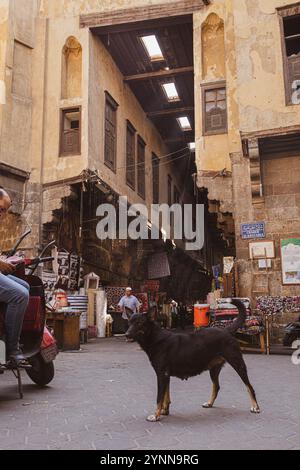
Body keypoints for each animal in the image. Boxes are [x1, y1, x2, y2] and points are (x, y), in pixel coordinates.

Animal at [126, 300, 260, 424]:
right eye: (129, 322)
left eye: (139, 323)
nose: (126, 334)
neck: (155, 338)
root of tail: (226, 330)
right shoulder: (166, 375)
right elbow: (165, 396)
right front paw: (164, 411)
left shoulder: (161, 374)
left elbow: (159, 397)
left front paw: (156, 415)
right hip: (214, 369)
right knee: (216, 386)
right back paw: (209, 403)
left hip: (238, 363)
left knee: (249, 387)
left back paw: (255, 407)